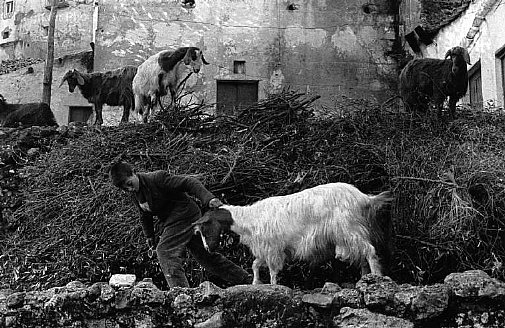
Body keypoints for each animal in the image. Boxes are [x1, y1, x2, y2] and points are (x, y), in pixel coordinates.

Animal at [191, 182, 392, 284]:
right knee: (362, 255)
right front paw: (256, 283)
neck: (248, 219)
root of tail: (364, 198)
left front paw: (273, 287)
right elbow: (255, 265)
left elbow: (272, 271)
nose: (208, 249)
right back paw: (364, 279)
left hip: (349, 228)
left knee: (370, 251)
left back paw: (376, 278)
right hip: (351, 232)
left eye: (204, 229)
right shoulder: (266, 249)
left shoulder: (272, 248)